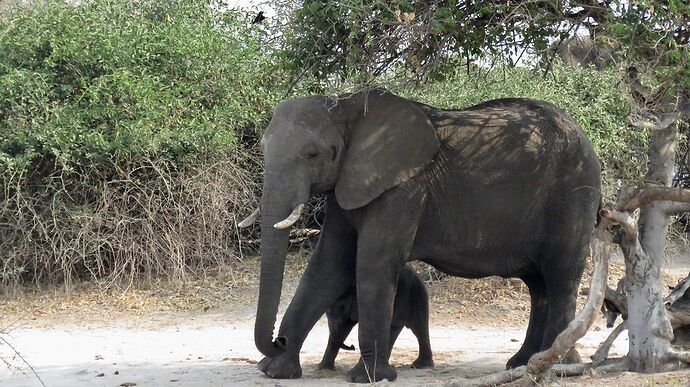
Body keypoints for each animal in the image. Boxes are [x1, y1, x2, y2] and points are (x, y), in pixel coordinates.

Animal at [239, 89, 600, 384]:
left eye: (313, 154)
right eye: (263, 148)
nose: (278, 341)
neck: (347, 108)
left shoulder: (403, 188)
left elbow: (372, 264)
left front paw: (369, 378)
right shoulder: (349, 185)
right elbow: (328, 264)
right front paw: (275, 371)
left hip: (573, 194)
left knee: (561, 276)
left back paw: (557, 366)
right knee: (539, 285)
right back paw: (524, 363)